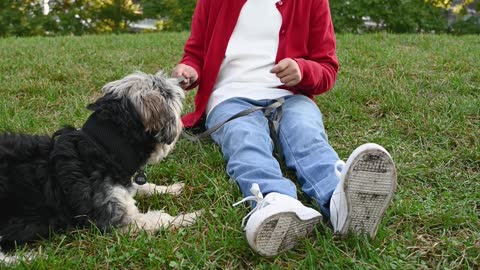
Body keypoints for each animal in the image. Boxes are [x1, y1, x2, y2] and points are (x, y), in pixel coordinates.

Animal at [0, 71, 201, 258]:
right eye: (167, 92)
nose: (182, 80)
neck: (104, 147)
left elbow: (143, 186)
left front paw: (170, 188)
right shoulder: (111, 219)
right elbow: (158, 218)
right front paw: (189, 217)